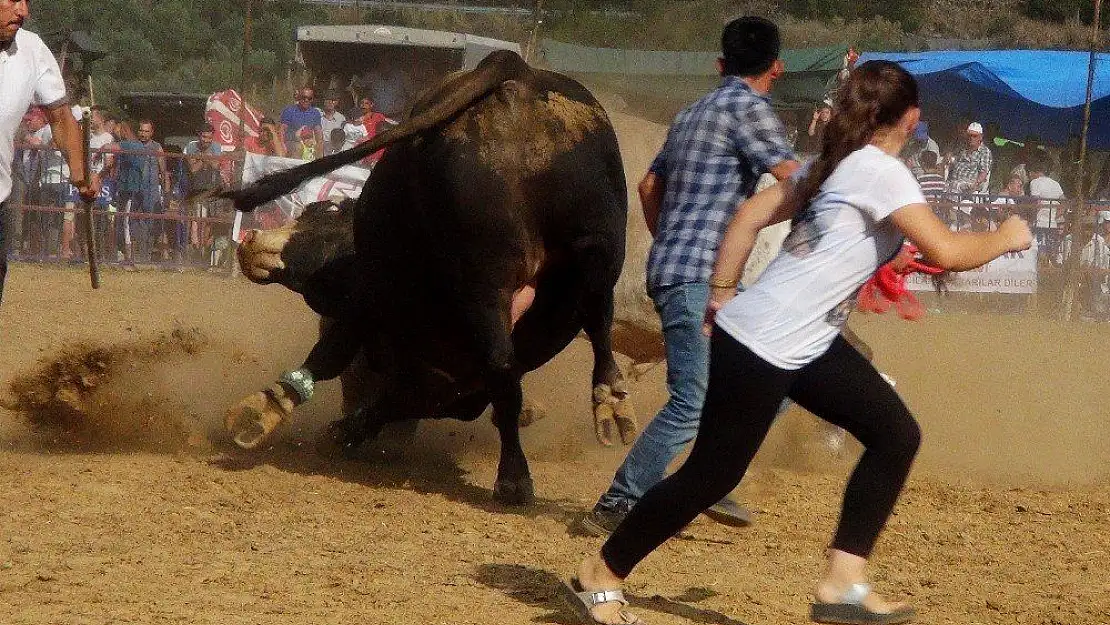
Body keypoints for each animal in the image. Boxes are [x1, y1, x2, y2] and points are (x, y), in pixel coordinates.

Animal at [224, 51, 639, 506]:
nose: (251, 242)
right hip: (557, 254)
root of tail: (515, 73)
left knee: (566, 334)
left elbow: (364, 377)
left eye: (327, 212)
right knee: (562, 331)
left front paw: (331, 427)